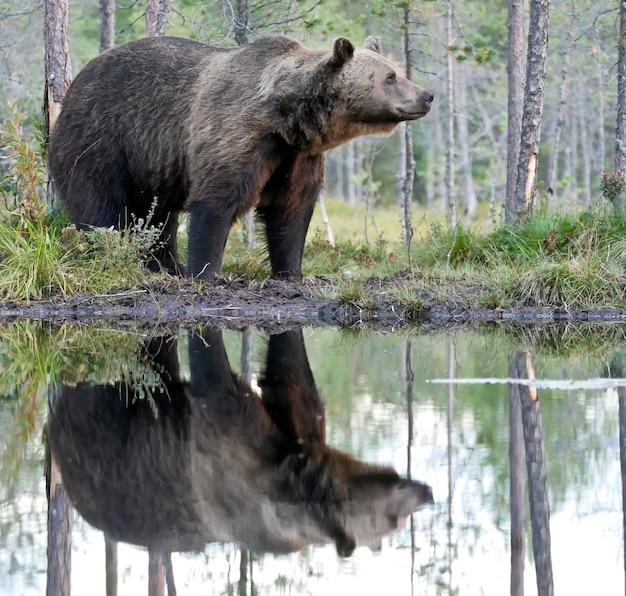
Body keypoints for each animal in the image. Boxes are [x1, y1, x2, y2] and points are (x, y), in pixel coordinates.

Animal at [48, 35, 432, 280]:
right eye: (390, 77)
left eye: (398, 71)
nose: (426, 95)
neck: (288, 121)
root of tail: (73, 87)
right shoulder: (236, 135)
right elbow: (216, 203)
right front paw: (206, 272)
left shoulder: (296, 158)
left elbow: (291, 211)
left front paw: (291, 271)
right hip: (101, 140)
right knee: (99, 206)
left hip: (152, 166)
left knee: (157, 218)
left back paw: (165, 266)